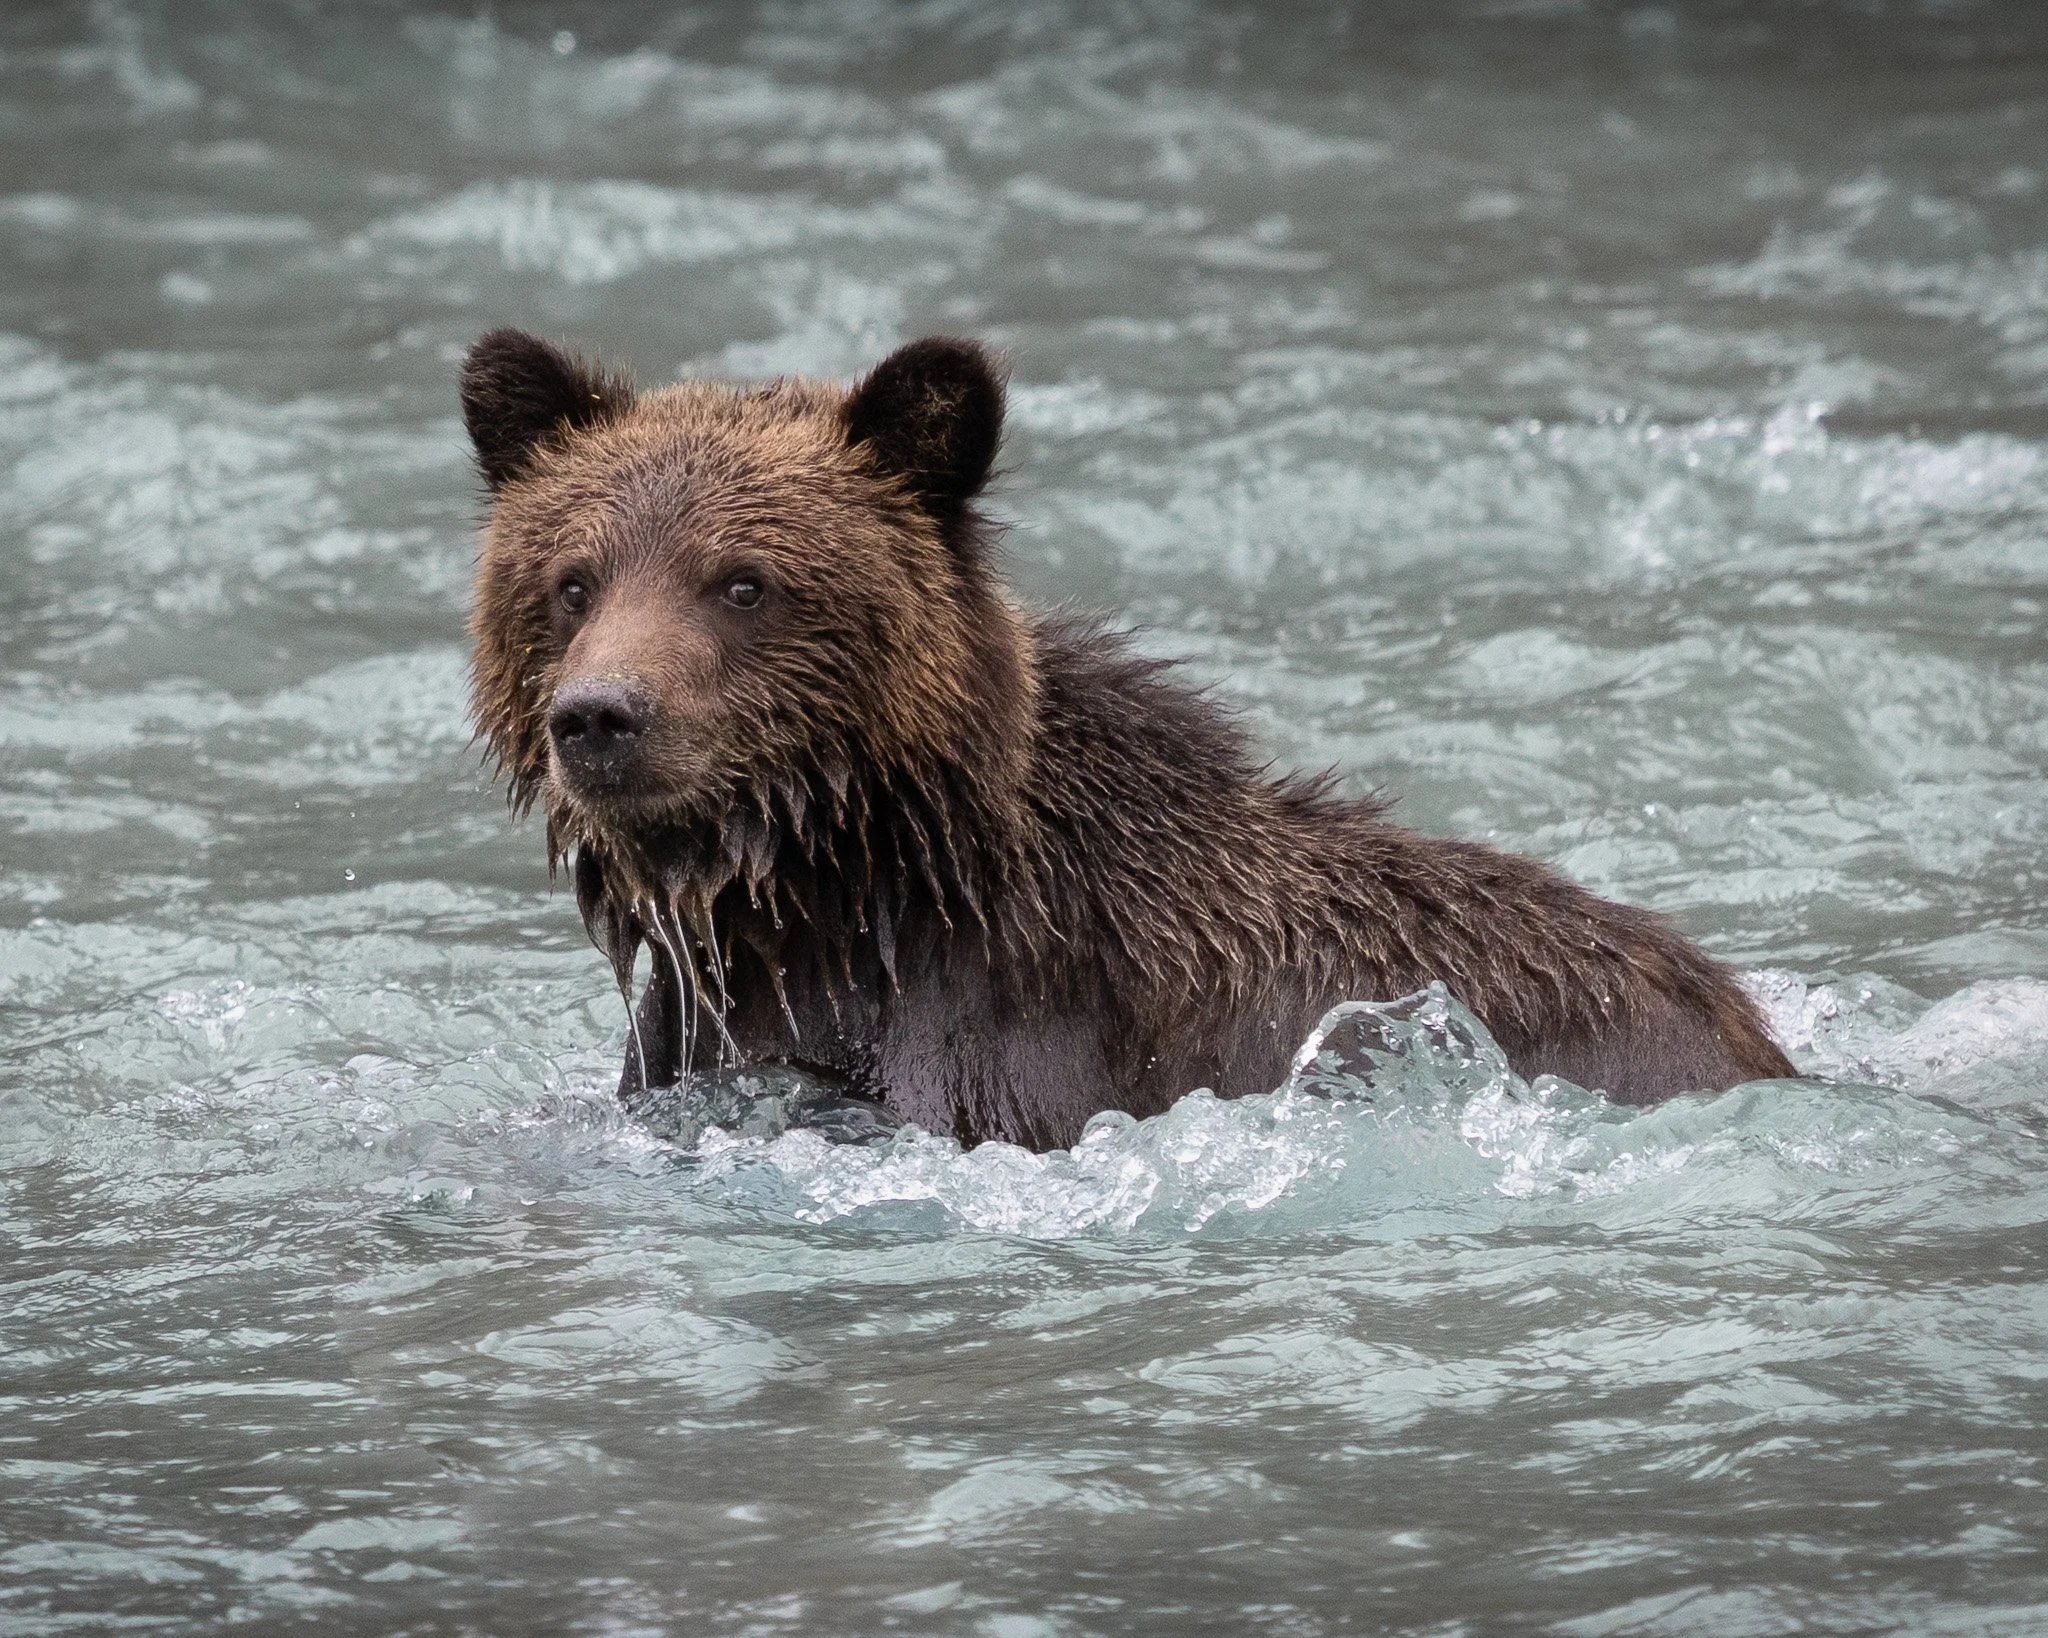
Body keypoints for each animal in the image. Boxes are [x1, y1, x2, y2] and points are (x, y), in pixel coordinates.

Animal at [461, 329, 1794, 1152]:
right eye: (572, 580)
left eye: (742, 581)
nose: (601, 715)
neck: (839, 896)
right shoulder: (701, 1044)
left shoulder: (1010, 1051)